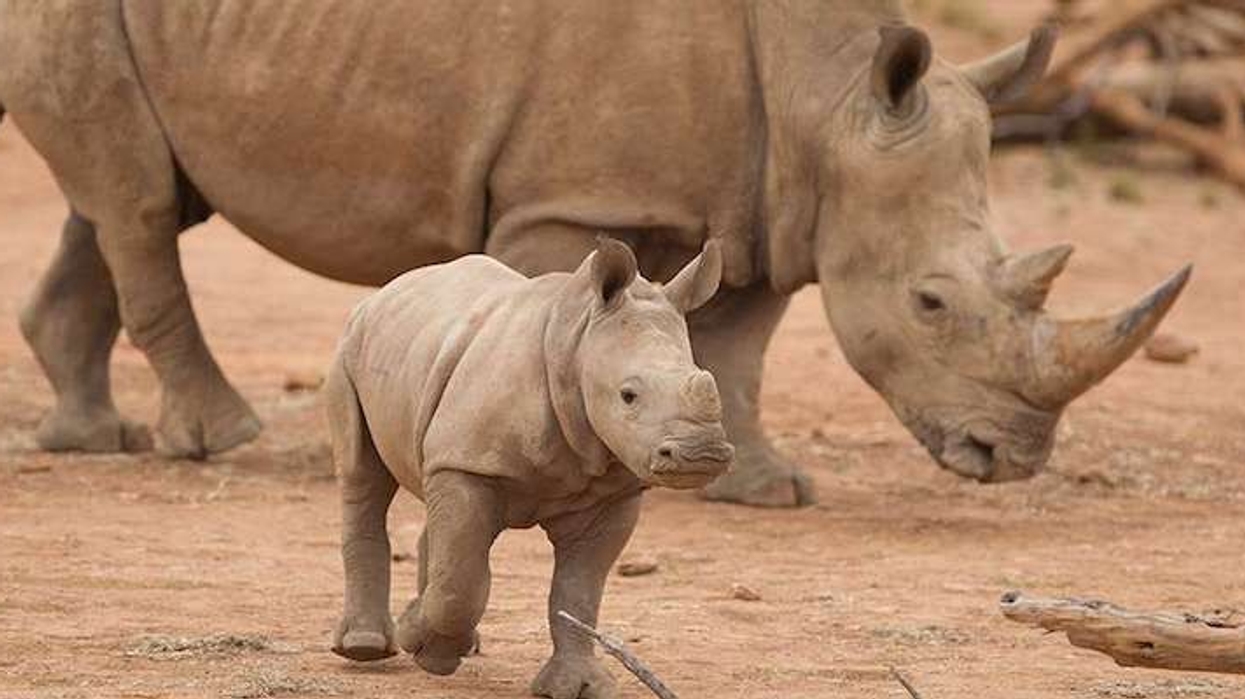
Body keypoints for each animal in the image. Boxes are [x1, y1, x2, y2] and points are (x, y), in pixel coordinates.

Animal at [1, 0, 1189, 508]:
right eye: (932, 303)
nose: (1014, 457)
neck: (828, 96)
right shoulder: (565, 198)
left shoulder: (768, 204)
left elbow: (739, 347)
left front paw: (762, 490)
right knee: (136, 197)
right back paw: (219, 440)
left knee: (134, 190)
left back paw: (92, 438)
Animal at [327, 239, 731, 698]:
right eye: (628, 395)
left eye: (707, 380)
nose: (703, 454)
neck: (575, 342)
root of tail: (387, 290)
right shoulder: (471, 465)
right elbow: (462, 584)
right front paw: (424, 645)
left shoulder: (613, 494)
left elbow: (578, 591)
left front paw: (576, 687)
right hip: (351, 348)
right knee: (364, 477)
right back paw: (366, 647)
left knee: (440, 509)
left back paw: (456, 640)